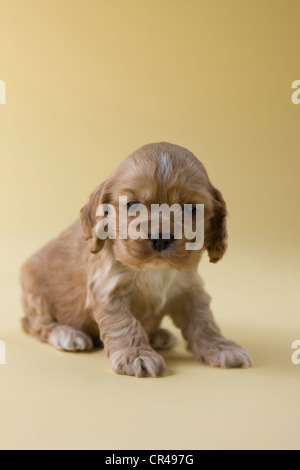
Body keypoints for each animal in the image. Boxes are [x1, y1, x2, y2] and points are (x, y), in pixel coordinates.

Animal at [19, 141, 252, 376]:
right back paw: (66, 335)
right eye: (133, 205)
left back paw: (159, 335)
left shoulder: (190, 289)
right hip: (34, 288)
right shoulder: (109, 289)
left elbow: (203, 321)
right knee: (35, 325)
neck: (154, 270)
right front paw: (136, 355)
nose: (160, 239)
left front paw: (221, 348)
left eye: (191, 208)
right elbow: (125, 323)